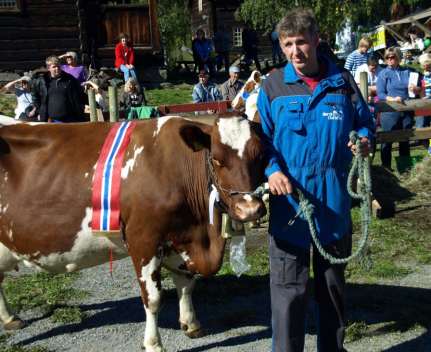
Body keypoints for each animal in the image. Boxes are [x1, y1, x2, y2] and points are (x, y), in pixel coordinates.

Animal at [0, 116, 266, 352]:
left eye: (261, 156)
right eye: (217, 159)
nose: (250, 209)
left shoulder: (181, 237)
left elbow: (186, 284)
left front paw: (190, 323)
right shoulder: (143, 240)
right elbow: (153, 298)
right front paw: (154, 344)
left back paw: (10, 318)